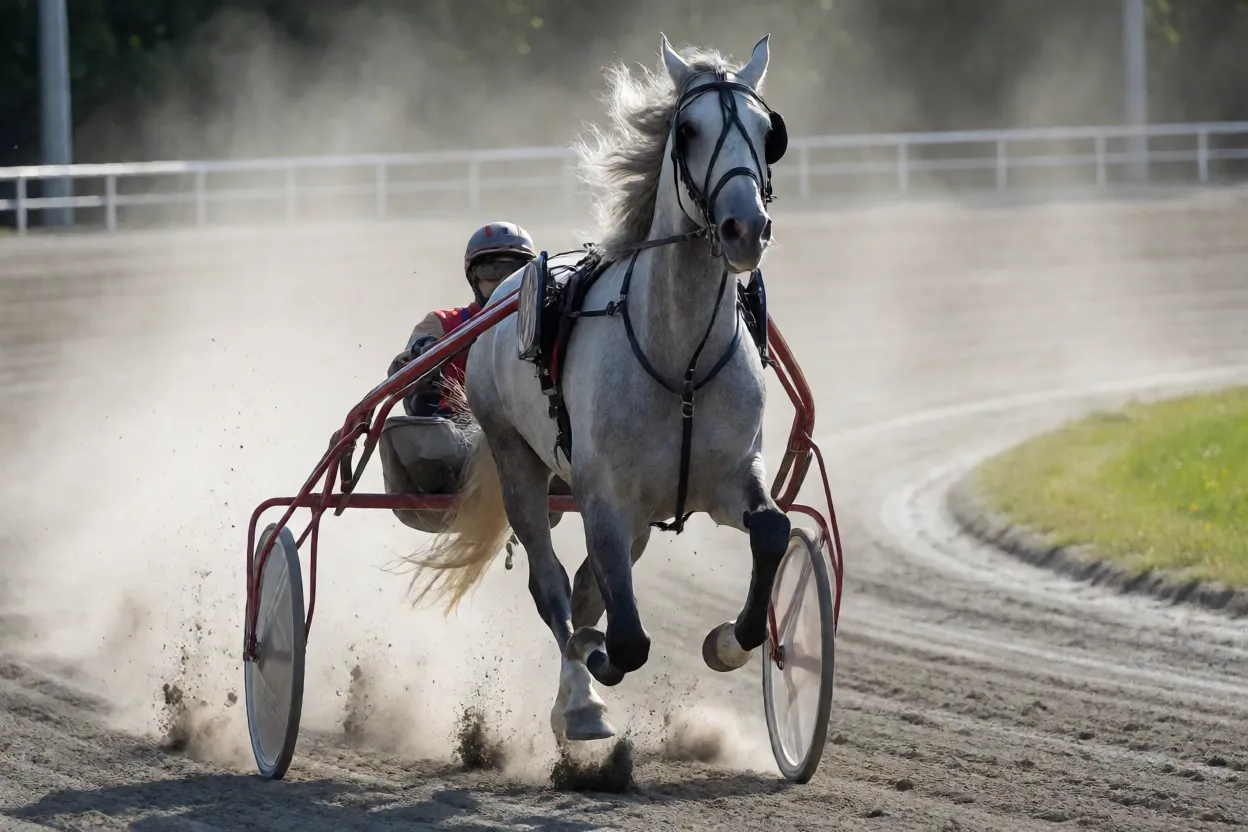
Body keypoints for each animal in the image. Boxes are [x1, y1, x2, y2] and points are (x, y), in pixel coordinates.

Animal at [402, 33, 790, 743]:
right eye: (688, 129)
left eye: (765, 129)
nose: (745, 228)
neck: (680, 359)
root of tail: (503, 295)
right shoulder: (603, 494)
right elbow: (627, 639)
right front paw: (597, 659)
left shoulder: (728, 477)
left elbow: (773, 532)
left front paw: (727, 641)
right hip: (518, 459)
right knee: (552, 583)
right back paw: (580, 698)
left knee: (585, 587)